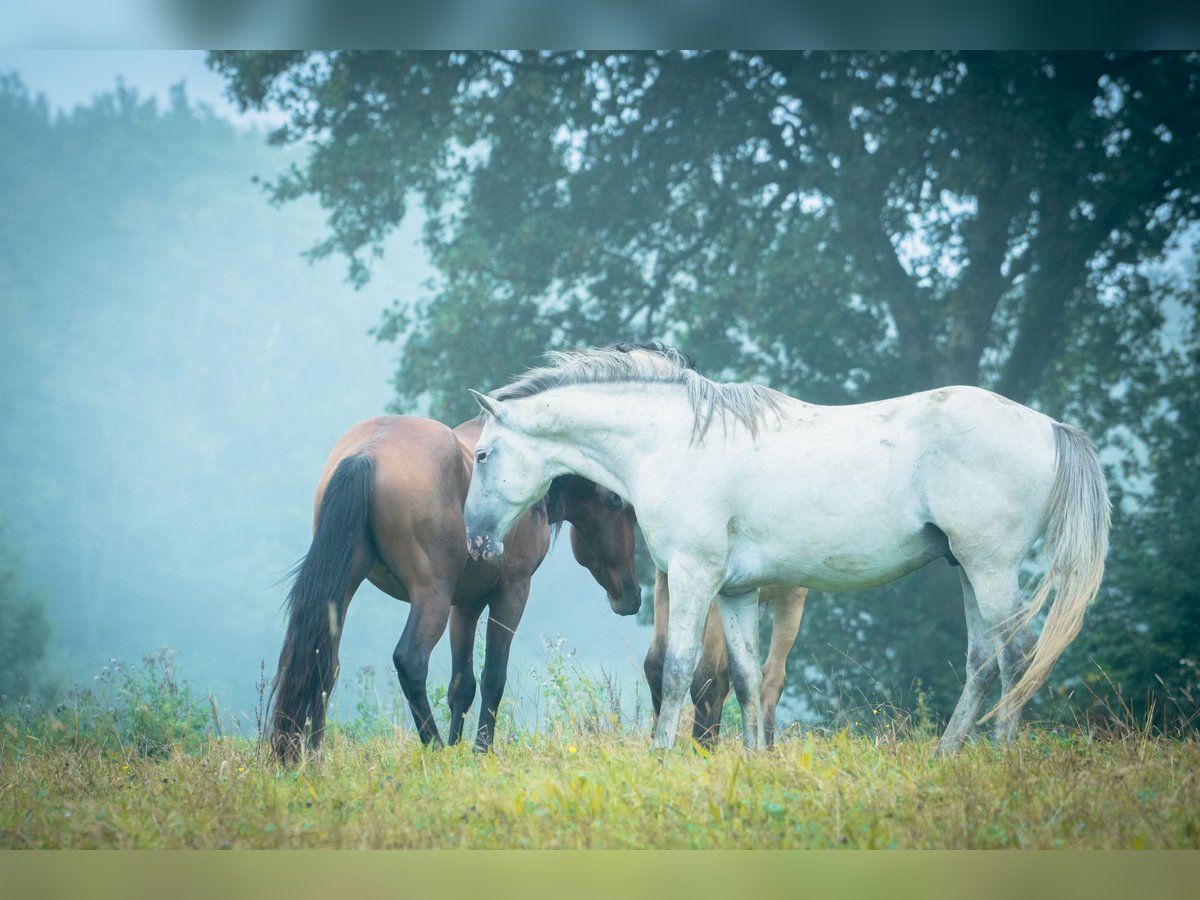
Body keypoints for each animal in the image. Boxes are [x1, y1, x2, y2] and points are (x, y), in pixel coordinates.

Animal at [268, 415, 643, 763]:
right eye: (620, 504)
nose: (632, 596)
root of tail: (368, 453)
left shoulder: (465, 604)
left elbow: (462, 684)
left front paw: (459, 748)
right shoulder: (512, 592)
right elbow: (493, 676)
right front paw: (480, 750)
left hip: (345, 590)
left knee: (323, 663)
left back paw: (313, 755)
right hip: (430, 595)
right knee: (410, 659)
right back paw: (433, 748)